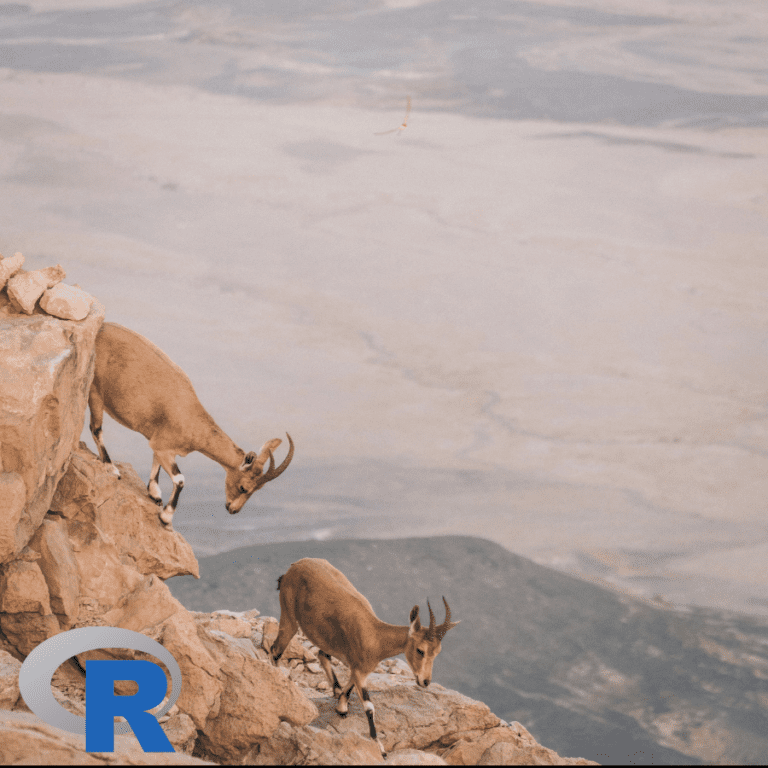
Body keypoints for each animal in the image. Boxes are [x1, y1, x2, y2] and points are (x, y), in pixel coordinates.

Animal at [88, 321, 293, 526]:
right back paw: (111, 468)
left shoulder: (159, 443)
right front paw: (165, 516)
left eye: (257, 489)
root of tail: (102, 326)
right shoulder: (164, 445)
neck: (192, 420)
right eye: (244, 487)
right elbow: (180, 479)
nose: (233, 510)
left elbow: (156, 461)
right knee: (96, 428)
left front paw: (155, 494)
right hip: (95, 392)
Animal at [270, 558, 459, 756]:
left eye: (437, 651)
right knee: (275, 650)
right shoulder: (360, 671)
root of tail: (293, 567)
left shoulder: (358, 669)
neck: (375, 637)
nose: (425, 681)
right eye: (420, 650)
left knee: (321, 654)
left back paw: (335, 689)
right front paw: (381, 749)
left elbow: (350, 687)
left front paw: (341, 707)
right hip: (289, 618)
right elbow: (369, 708)